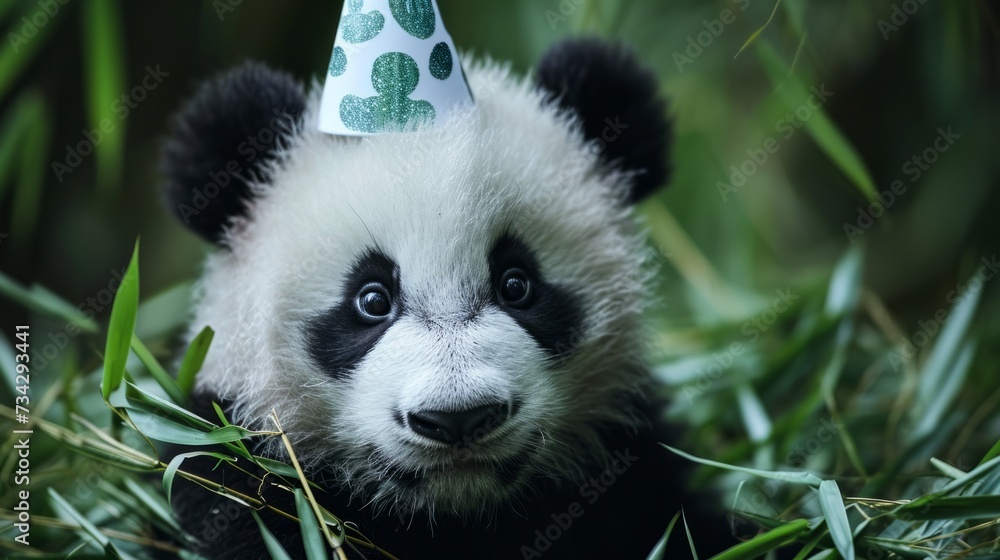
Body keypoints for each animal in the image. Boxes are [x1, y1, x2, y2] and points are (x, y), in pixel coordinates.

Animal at [160, 38, 727, 559]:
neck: (458, 517)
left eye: (516, 284)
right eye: (372, 300)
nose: (459, 419)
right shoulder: (237, 471)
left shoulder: (631, 465)